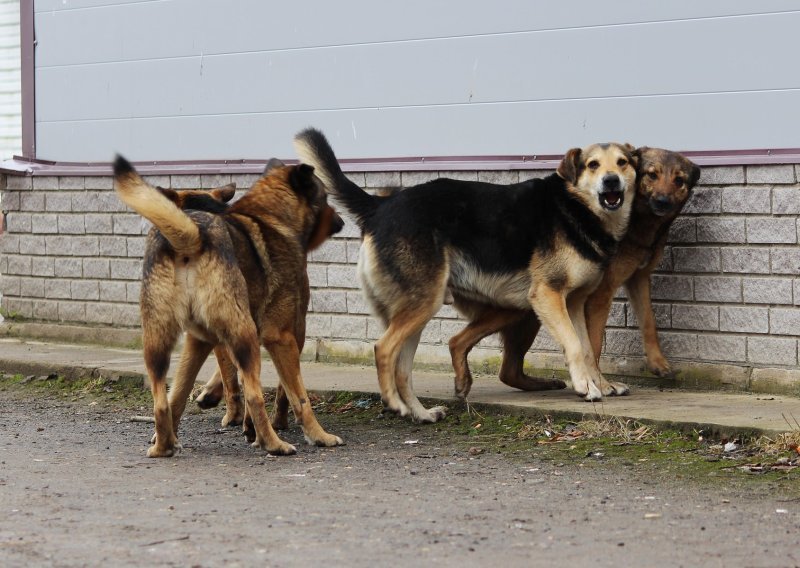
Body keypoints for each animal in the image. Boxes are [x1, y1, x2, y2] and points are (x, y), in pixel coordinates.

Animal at [114, 155, 346, 458]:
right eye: (325, 197)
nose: (341, 221)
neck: (270, 218)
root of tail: (193, 236)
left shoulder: (199, 340)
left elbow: (181, 393)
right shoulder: (284, 335)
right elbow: (297, 396)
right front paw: (317, 435)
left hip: (159, 340)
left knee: (162, 398)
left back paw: (163, 445)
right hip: (243, 331)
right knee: (254, 394)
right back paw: (274, 443)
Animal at [294, 129, 636, 422]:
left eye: (622, 162)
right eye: (593, 165)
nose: (611, 182)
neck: (575, 207)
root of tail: (381, 204)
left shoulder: (574, 303)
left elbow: (589, 349)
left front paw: (601, 383)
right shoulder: (548, 296)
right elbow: (576, 346)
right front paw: (586, 387)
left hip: (425, 309)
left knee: (404, 367)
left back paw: (421, 413)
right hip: (429, 304)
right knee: (384, 349)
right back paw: (395, 404)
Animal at [446, 146, 696, 398]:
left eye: (679, 180)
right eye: (651, 175)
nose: (663, 202)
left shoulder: (638, 279)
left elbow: (648, 321)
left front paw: (657, 363)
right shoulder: (598, 294)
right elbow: (592, 344)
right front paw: (599, 384)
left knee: (483, 355)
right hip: (524, 305)